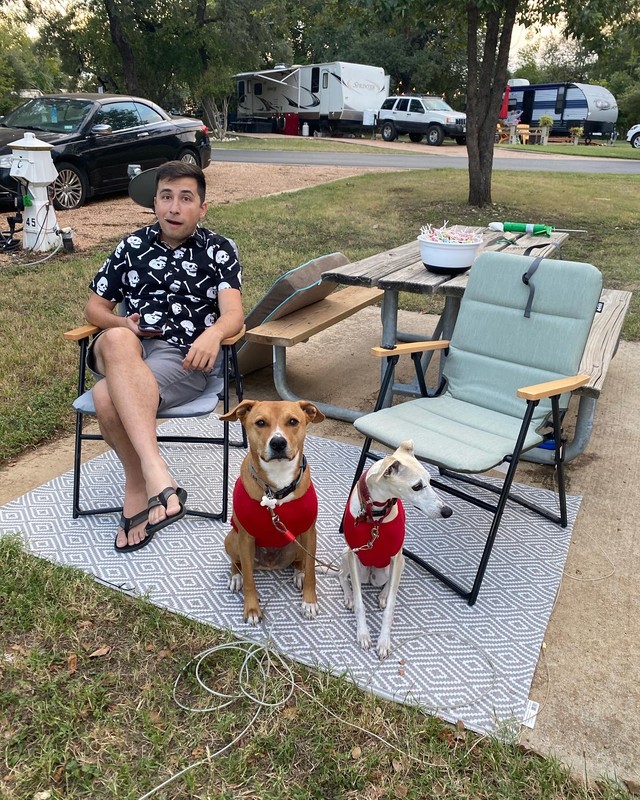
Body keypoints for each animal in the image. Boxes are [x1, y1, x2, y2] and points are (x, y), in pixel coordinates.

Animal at [222, 400, 328, 624]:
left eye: (293, 421)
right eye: (260, 422)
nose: (278, 443)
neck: (277, 487)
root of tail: (269, 565)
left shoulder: (309, 532)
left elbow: (311, 572)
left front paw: (309, 602)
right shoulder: (246, 537)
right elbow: (249, 580)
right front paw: (252, 609)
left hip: (298, 541)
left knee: (300, 562)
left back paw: (298, 573)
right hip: (232, 539)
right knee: (237, 563)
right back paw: (235, 576)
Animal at [338, 440, 452, 660]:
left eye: (430, 480)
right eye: (417, 486)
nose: (447, 511)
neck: (375, 515)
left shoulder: (396, 558)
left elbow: (390, 607)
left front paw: (383, 642)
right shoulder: (354, 553)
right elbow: (359, 602)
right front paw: (363, 634)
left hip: (393, 566)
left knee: (389, 582)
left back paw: (382, 595)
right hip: (348, 557)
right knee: (341, 575)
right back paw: (348, 596)